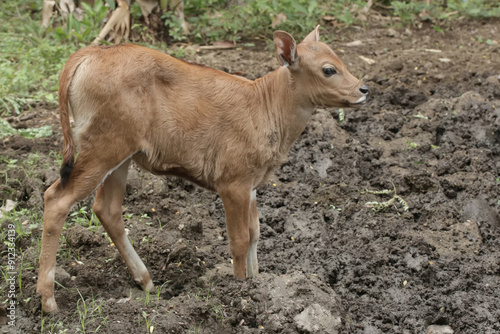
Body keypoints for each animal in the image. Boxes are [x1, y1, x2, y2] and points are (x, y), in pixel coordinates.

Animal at [37, 24, 368, 312]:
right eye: (329, 69)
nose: (363, 89)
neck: (265, 106)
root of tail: (91, 53)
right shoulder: (232, 183)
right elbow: (239, 239)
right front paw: (239, 288)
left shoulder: (251, 185)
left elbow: (256, 232)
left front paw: (257, 281)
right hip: (103, 148)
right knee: (56, 199)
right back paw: (49, 301)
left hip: (120, 155)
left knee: (107, 209)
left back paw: (146, 281)